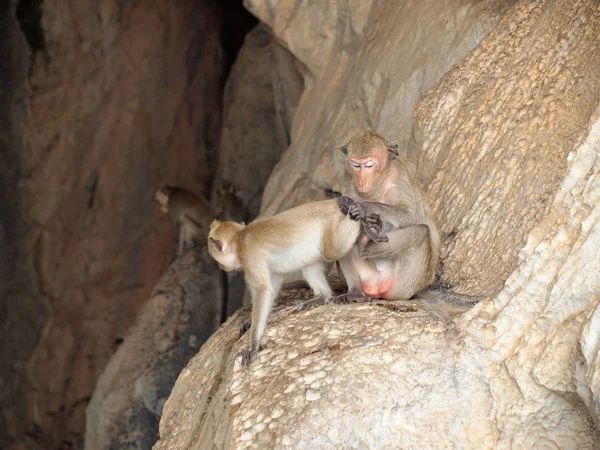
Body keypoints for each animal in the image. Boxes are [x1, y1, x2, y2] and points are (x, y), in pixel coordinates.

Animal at [210, 197, 390, 366]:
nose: (220, 266)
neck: (240, 237)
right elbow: (274, 282)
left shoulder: (249, 256)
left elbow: (263, 289)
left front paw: (252, 346)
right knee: (311, 262)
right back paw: (323, 297)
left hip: (332, 223)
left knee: (332, 251)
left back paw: (357, 212)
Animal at [336, 128, 442, 304]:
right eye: (355, 165)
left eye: (369, 165)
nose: (362, 181)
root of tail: (377, 289)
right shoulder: (348, 176)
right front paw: (346, 202)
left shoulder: (400, 174)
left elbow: (410, 215)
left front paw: (366, 208)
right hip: (368, 278)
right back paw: (355, 292)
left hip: (403, 286)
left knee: (422, 231)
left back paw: (365, 242)